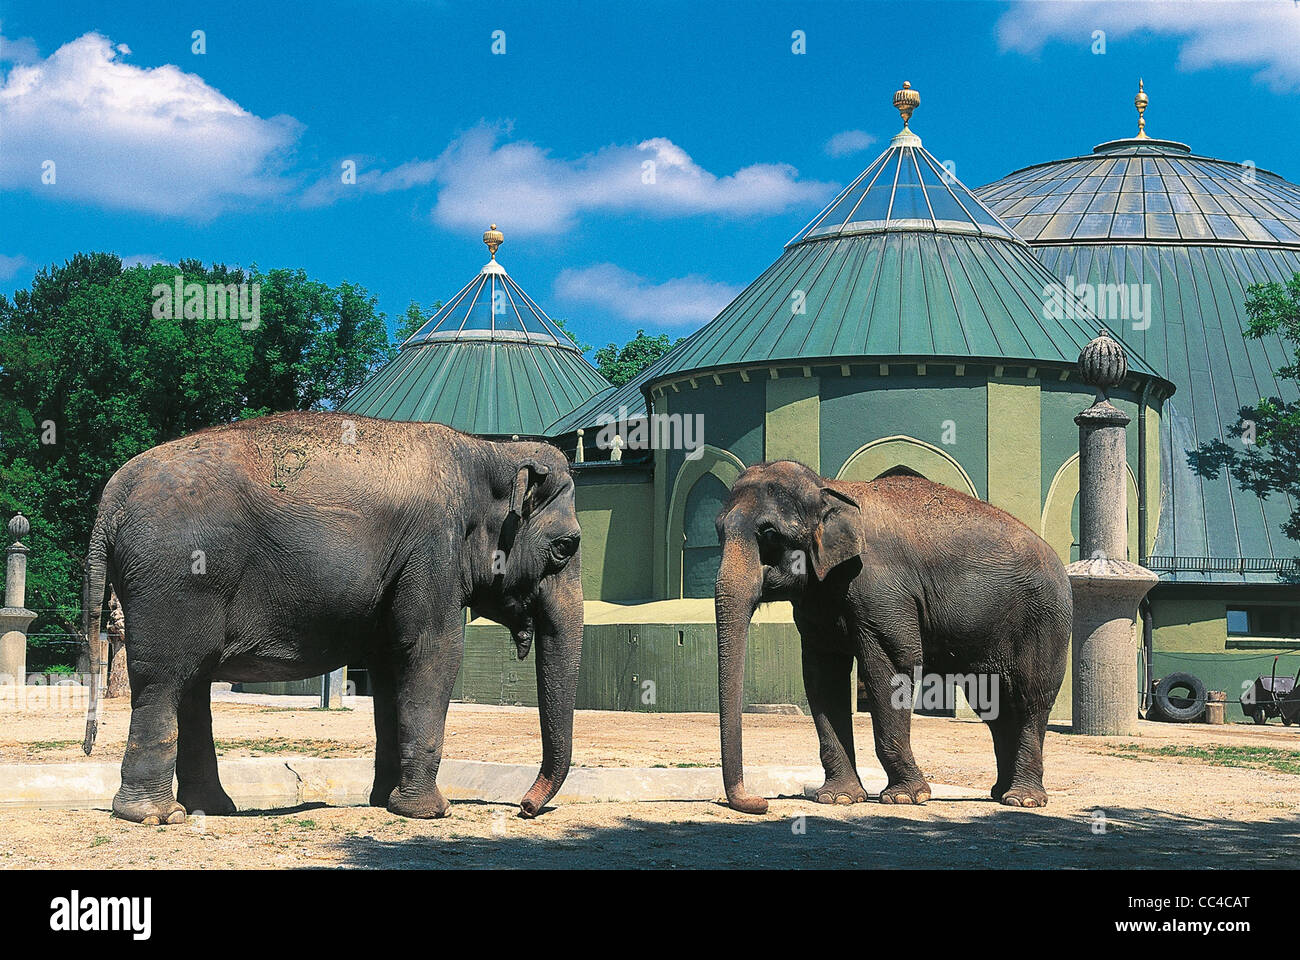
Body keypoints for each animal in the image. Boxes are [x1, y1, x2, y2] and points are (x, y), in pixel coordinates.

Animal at [82, 411, 585, 822]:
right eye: (565, 547)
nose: (524, 807)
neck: (488, 451)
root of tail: (112, 496)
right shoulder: (432, 552)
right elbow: (432, 651)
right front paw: (430, 812)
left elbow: (390, 667)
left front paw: (385, 803)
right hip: (176, 580)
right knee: (164, 681)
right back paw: (155, 816)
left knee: (190, 683)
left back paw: (211, 809)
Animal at [717, 460, 1071, 811]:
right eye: (718, 531)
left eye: (770, 534)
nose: (761, 802)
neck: (827, 487)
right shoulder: (817, 600)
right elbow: (822, 675)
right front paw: (837, 797)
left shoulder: (881, 590)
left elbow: (890, 666)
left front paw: (906, 797)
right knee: (994, 705)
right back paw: (1000, 792)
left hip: (1045, 620)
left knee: (1030, 697)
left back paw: (1023, 799)